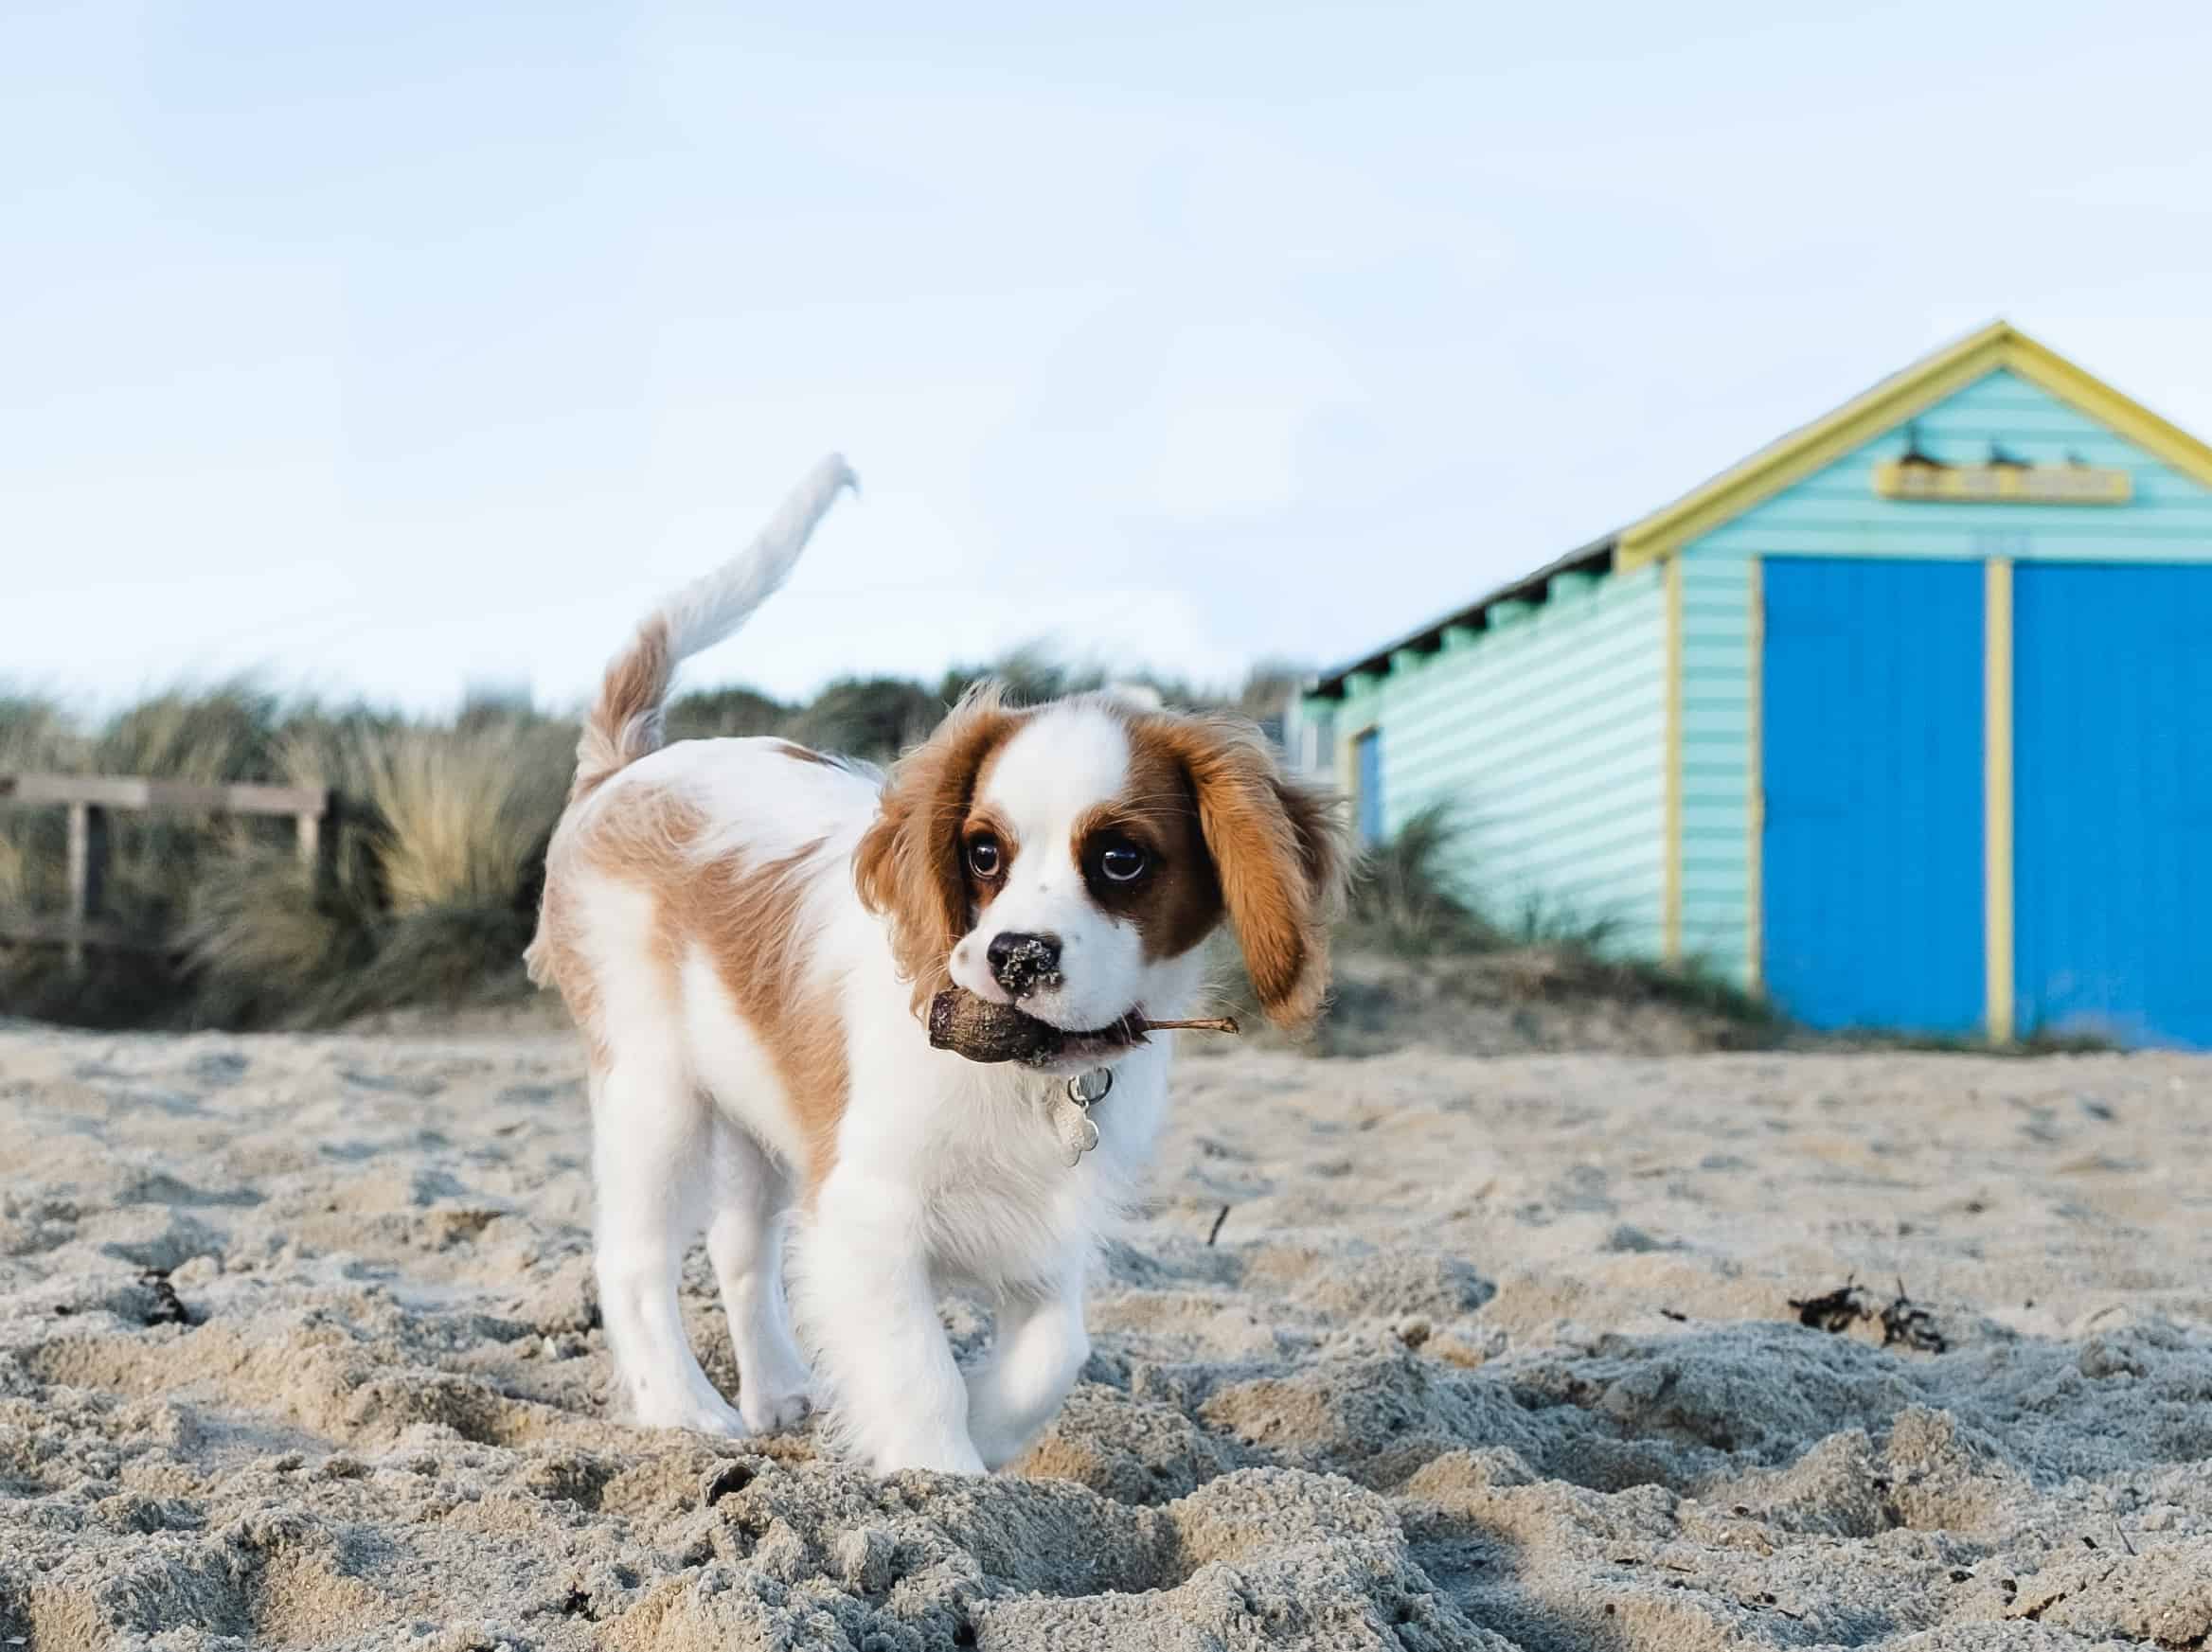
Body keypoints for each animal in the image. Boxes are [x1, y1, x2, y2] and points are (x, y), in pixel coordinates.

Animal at [530, 455, 1345, 1477]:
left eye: (1121, 859)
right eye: (983, 852)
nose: (1016, 954)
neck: (1029, 1067)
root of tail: (626, 769)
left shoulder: (1042, 1233)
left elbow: (1055, 1348)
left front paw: (993, 1443)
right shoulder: (868, 1210)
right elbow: (919, 1373)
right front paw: (945, 1481)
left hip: (764, 1099)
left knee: (739, 1247)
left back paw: (779, 1392)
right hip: (656, 1091)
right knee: (634, 1259)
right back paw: (686, 1412)